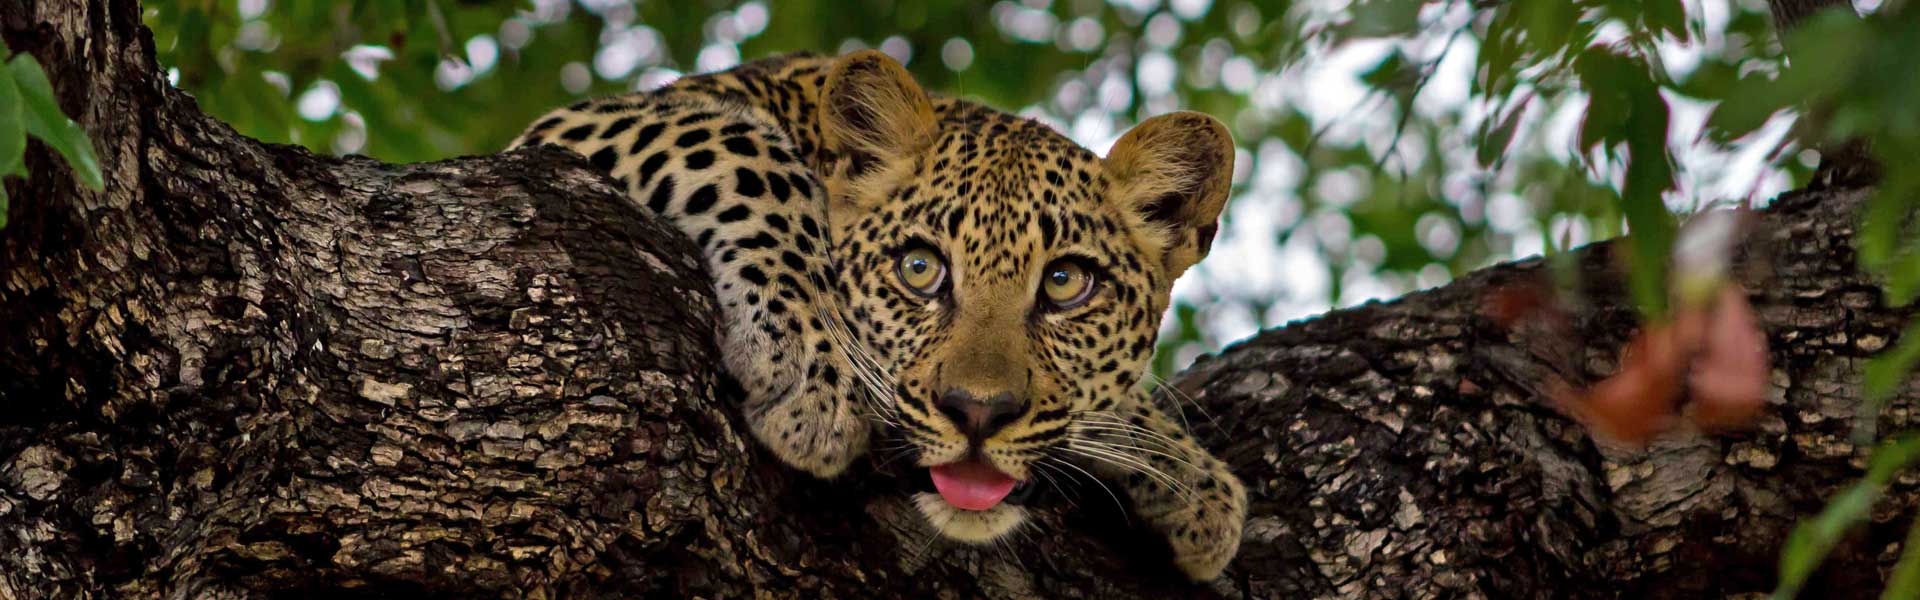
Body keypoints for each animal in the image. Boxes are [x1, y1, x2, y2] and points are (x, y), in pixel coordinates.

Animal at [511, 49, 1247, 581]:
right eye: (919, 269)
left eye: (1067, 284)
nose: (978, 413)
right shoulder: (575, 128)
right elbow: (747, 154)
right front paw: (812, 374)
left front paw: (1194, 481)